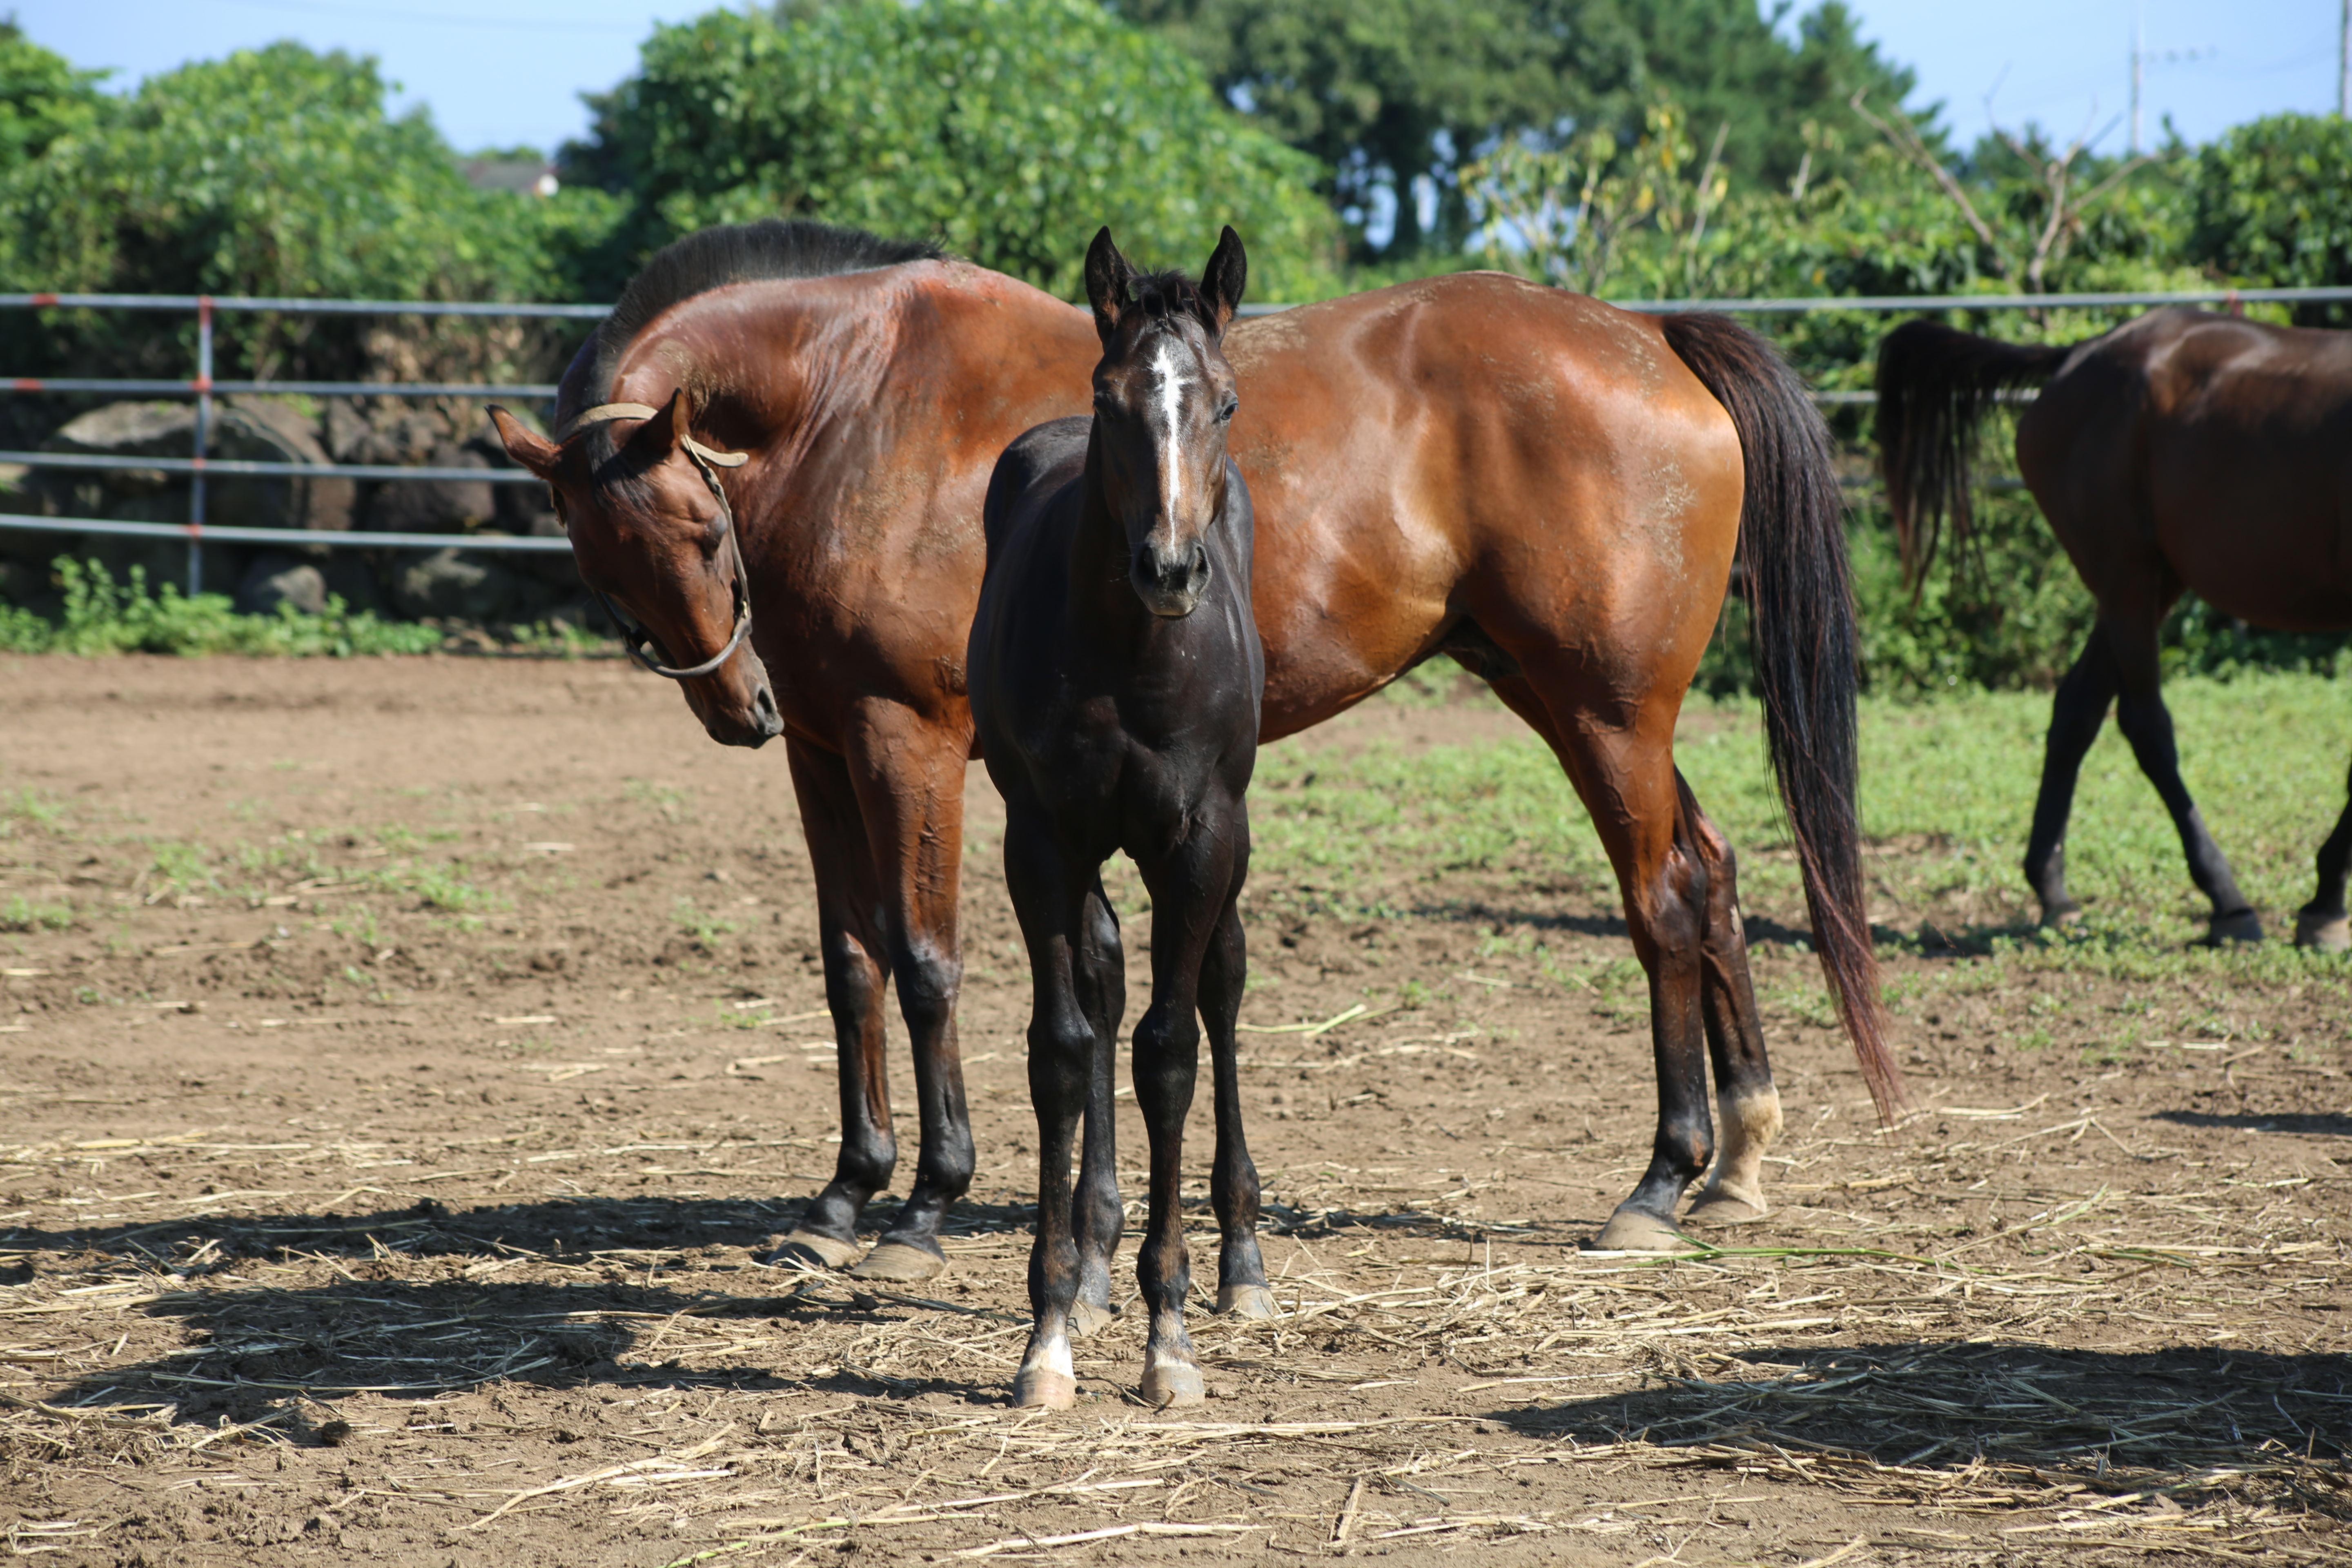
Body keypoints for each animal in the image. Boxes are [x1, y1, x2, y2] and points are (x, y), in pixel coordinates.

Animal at [487, 215, 1900, 1278]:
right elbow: (852, 968)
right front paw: (845, 1193)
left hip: (1606, 711)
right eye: (601, 562)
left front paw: (929, 1200)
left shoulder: (910, 743)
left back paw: (1662, 1177)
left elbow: (929, 963)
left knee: (1661, 898)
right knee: (1710, 871)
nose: (737, 704)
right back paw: (1737, 1157)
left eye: (696, 528)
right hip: (1563, 698)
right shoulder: (826, 752)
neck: (858, 395)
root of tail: (1653, 336)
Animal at [973, 230, 1270, 1410]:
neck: (1130, 655)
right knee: (1099, 980)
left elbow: (1169, 1049)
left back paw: (1243, 1263)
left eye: (1224, 401)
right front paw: (1049, 1329)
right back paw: (1095, 1260)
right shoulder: (1042, 839)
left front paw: (1170, 1335)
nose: (1169, 569)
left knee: (1222, 986)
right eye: (1111, 400)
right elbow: (1065, 1046)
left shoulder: (1200, 838)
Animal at [1872, 305, 2352, 945]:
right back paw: (2227, 901)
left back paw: (2052, 889)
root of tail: (2081, 354)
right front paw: (2325, 901)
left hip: (2152, 581)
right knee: (2144, 725)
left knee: (2076, 708)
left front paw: (2328, 899)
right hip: (2127, 576)